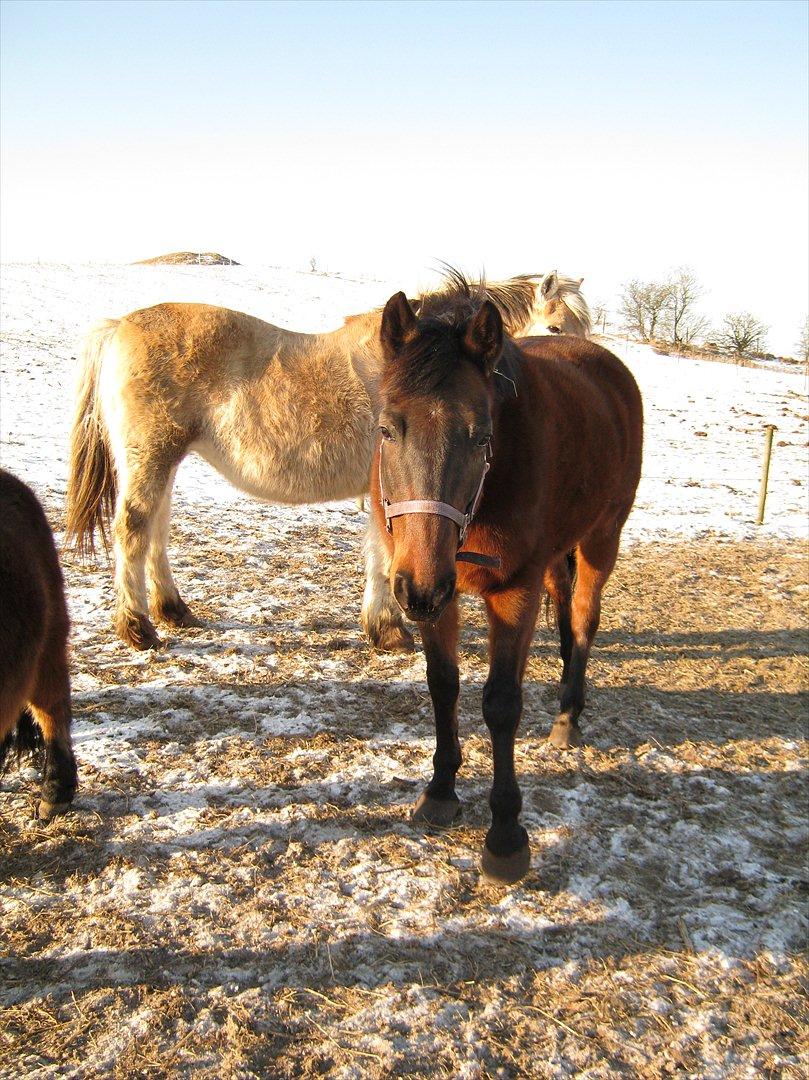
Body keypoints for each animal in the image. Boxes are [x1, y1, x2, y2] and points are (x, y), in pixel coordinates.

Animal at [64, 274, 587, 652]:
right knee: (133, 529)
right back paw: (138, 628)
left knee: (156, 527)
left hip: (165, 460)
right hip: (150, 457)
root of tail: (119, 325)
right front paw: (389, 631)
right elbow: (383, 555)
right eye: (556, 327)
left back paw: (172, 610)